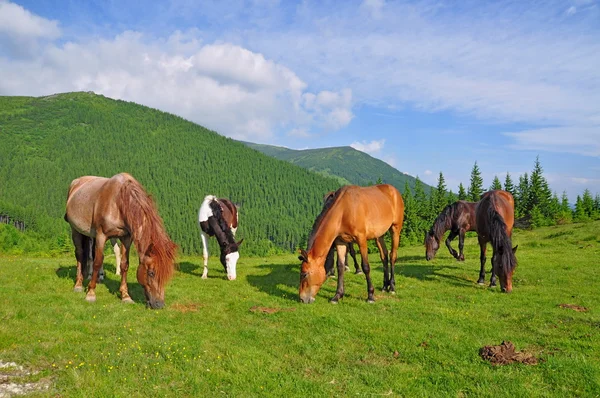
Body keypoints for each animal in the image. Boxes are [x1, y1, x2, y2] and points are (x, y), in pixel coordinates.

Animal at [66, 173, 178, 308]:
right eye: (151, 273)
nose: (159, 304)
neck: (118, 203)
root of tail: (76, 183)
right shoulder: (101, 236)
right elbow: (98, 261)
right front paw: (91, 293)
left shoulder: (126, 238)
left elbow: (124, 264)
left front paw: (125, 296)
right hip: (75, 230)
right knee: (80, 254)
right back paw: (78, 284)